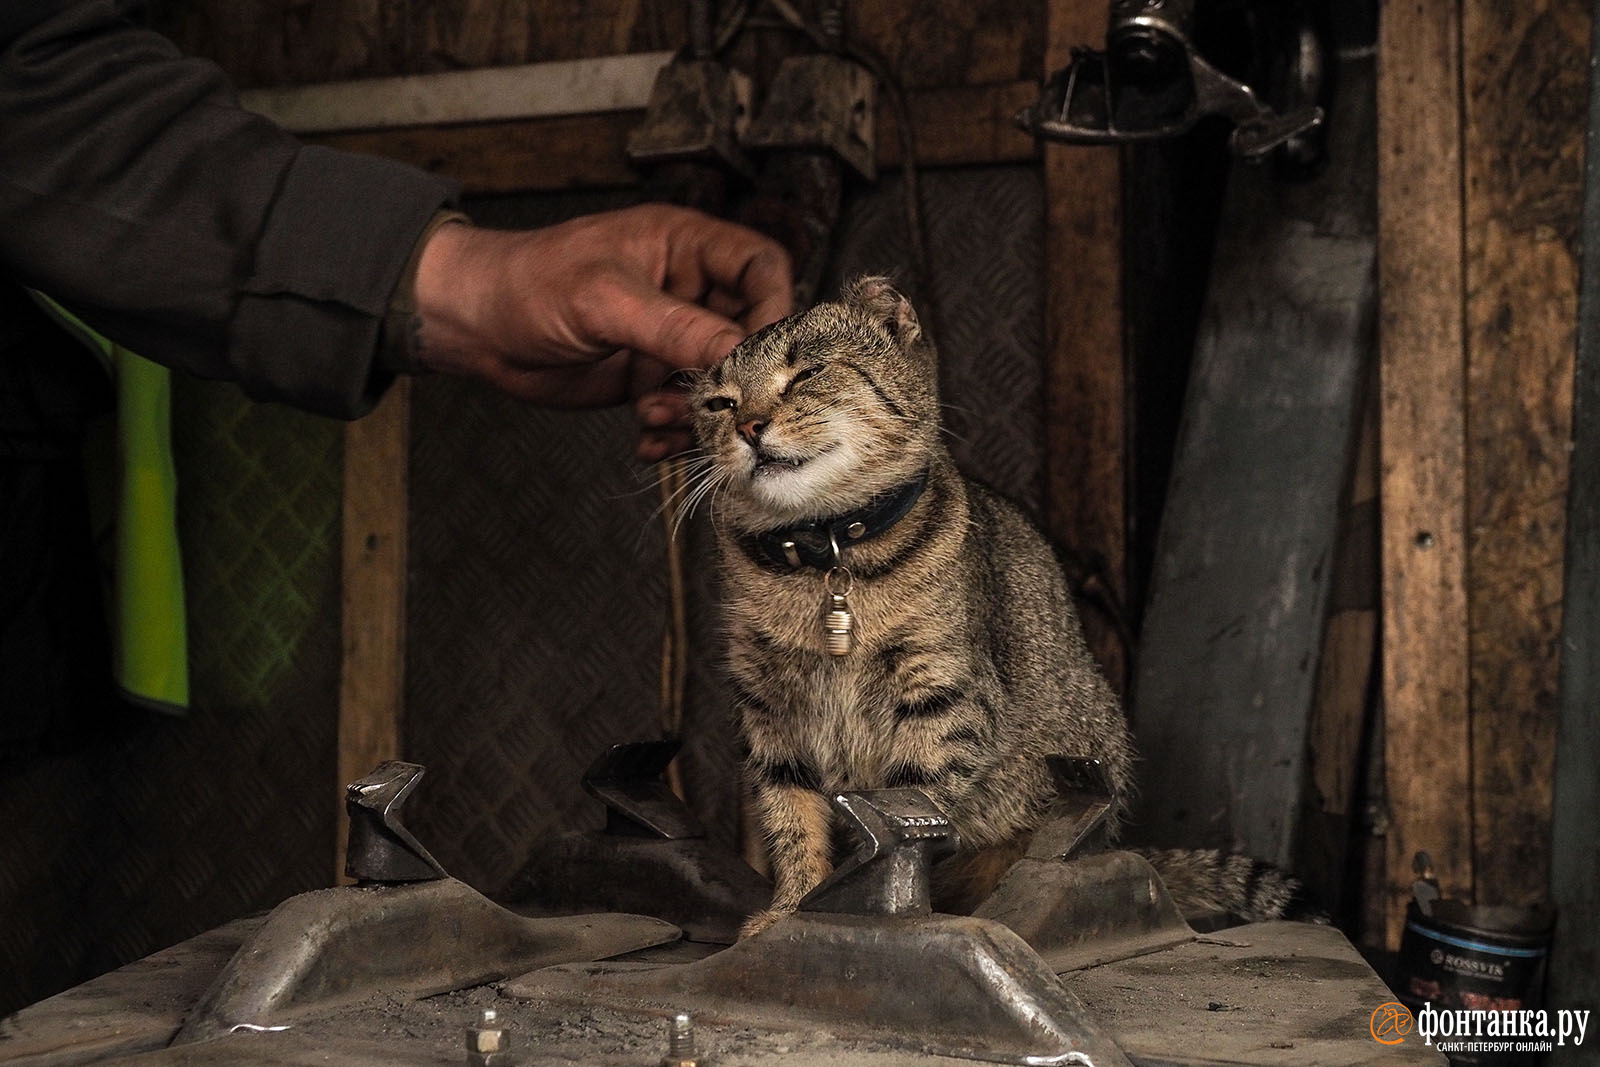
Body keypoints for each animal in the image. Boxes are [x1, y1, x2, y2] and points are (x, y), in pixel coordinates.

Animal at [688, 275, 1286, 934]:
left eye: (808, 373)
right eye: (719, 404)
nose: (749, 426)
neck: (827, 560)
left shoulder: (945, 695)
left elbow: (911, 801)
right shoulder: (766, 708)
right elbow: (791, 817)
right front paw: (790, 908)